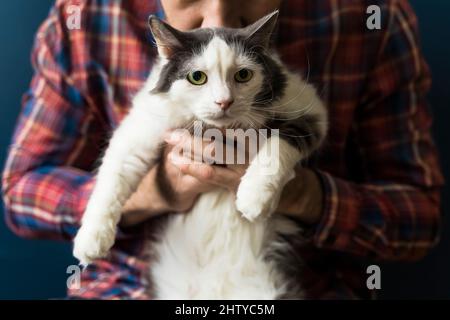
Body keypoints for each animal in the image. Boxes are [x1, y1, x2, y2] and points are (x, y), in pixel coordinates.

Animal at [73, 10, 326, 300]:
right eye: (197, 77)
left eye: (243, 75)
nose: (224, 102)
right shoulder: (138, 133)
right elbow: (109, 184)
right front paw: (91, 241)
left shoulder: (311, 112)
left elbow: (277, 146)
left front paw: (253, 197)